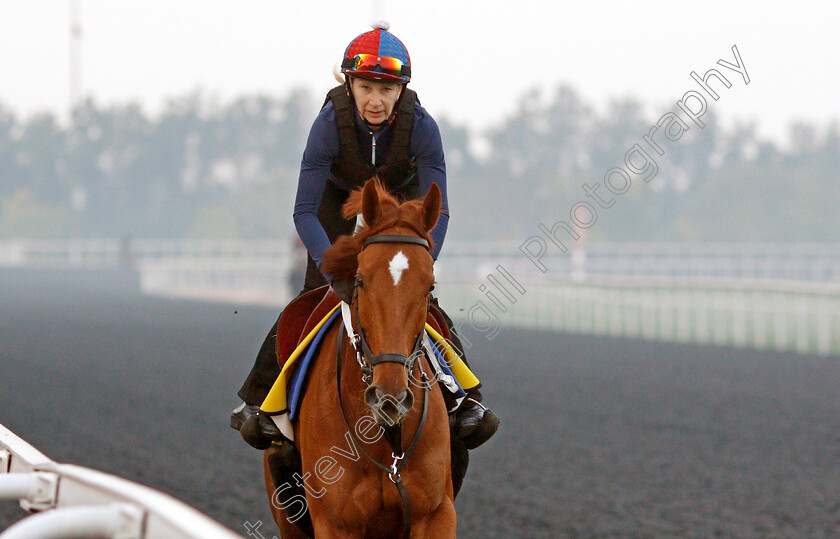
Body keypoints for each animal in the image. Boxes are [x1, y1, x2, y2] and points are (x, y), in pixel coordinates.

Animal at [266, 179, 456, 536]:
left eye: (429, 286)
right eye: (361, 279)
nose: (390, 396)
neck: (388, 444)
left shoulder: (436, 513)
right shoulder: (335, 523)